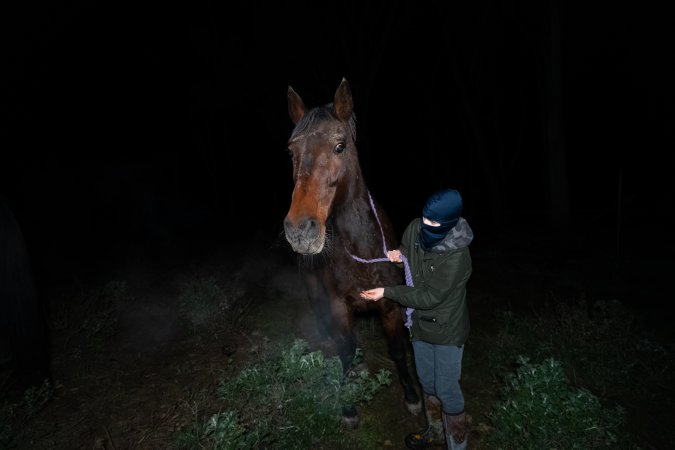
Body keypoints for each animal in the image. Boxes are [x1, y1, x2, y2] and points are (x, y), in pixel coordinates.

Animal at [282, 78, 421, 427]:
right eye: (292, 151)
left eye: (340, 146)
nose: (300, 230)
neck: (360, 250)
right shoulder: (338, 306)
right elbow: (344, 350)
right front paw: (347, 405)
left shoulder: (390, 306)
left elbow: (397, 350)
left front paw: (412, 397)